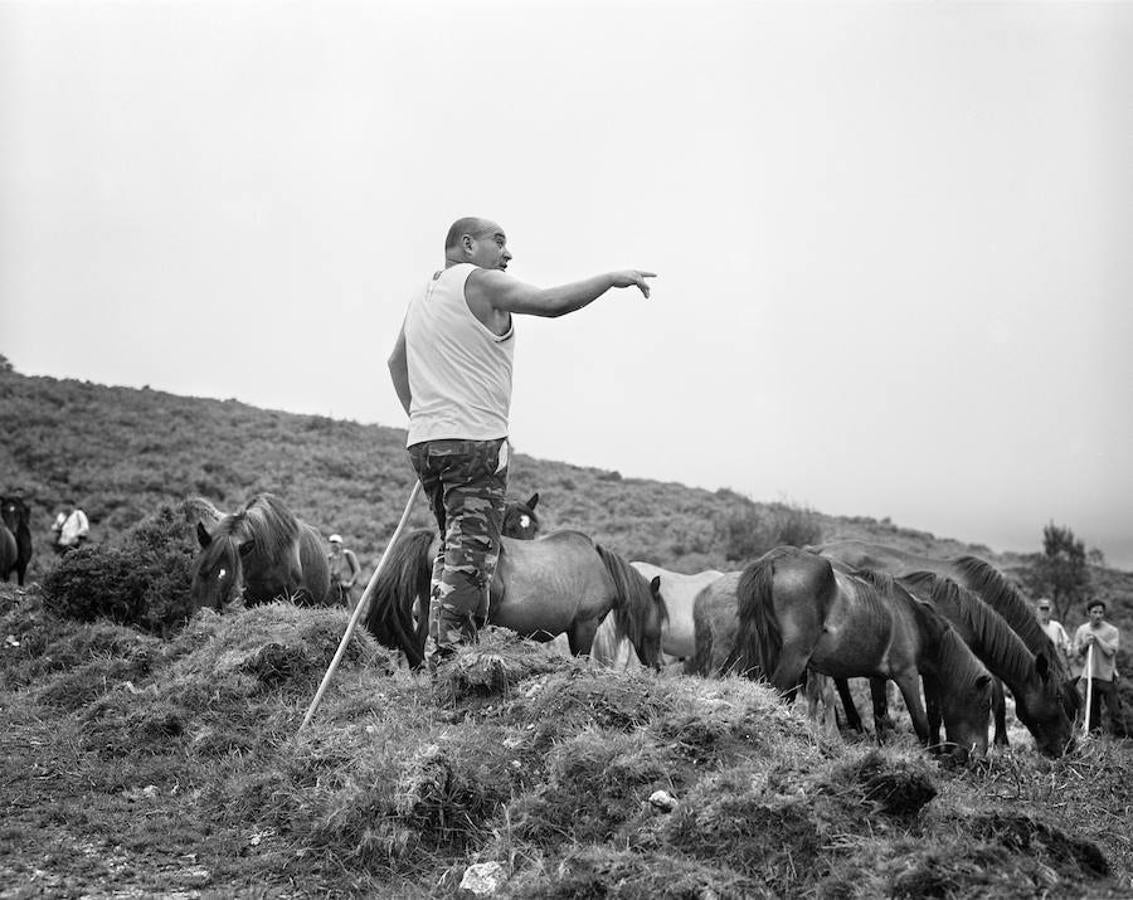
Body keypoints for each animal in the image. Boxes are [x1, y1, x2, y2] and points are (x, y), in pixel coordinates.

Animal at [362, 530, 666, 671]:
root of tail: (437, 539)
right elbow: (581, 657)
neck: (602, 567)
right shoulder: (585, 625)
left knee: (418, 642)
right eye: (661, 621)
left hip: (428, 607)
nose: (660, 665)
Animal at [734, 544, 992, 752]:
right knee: (779, 692)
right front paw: (930, 757)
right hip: (794, 658)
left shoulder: (877, 677)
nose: (978, 756)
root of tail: (774, 560)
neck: (918, 623)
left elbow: (880, 716)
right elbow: (921, 723)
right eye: (984, 706)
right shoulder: (907, 675)